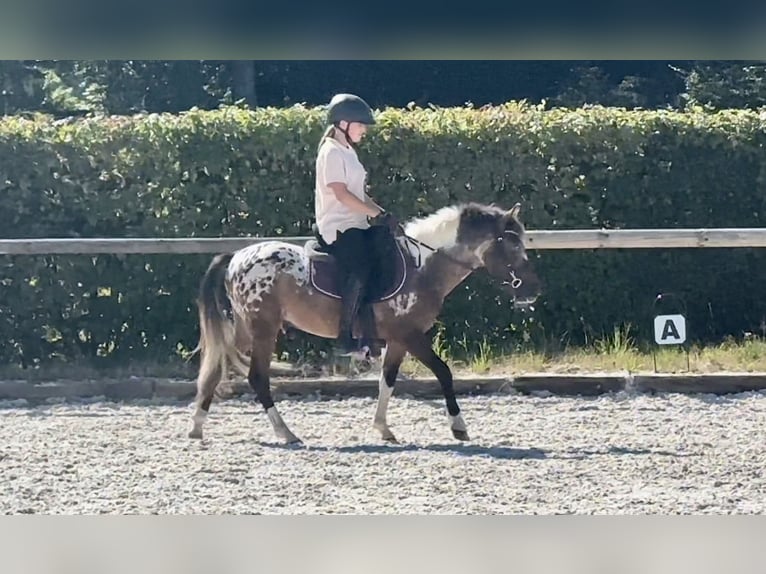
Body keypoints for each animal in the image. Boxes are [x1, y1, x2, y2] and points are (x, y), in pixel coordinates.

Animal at [189, 202, 544, 446]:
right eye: (512, 245)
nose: (533, 289)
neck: (423, 267)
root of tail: (236, 257)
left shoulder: (399, 340)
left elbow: (387, 381)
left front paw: (383, 428)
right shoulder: (411, 335)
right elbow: (443, 372)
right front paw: (459, 427)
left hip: (246, 329)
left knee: (217, 365)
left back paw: (196, 426)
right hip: (263, 329)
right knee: (257, 377)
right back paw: (285, 432)